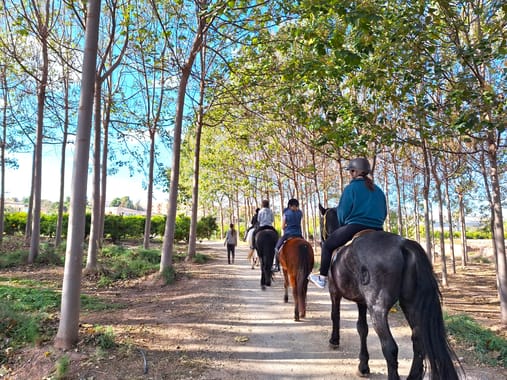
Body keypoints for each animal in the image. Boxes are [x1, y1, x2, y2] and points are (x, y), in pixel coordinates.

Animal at [320, 205, 462, 380]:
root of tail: (403, 245)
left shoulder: (334, 292)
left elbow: (335, 315)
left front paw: (334, 340)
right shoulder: (361, 301)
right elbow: (362, 328)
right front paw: (363, 365)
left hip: (378, 309)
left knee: (390, 347)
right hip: (411, 305)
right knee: (418, 340)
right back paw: (413, 376)